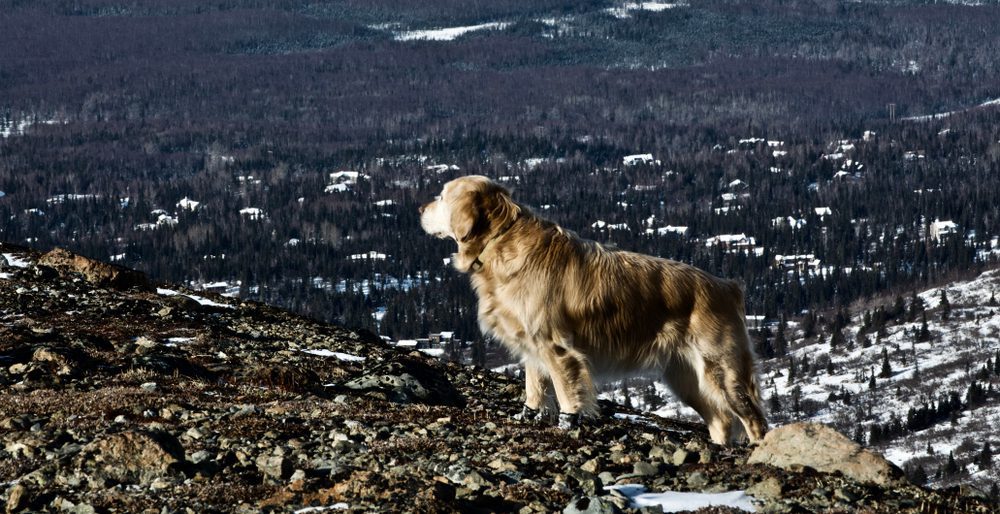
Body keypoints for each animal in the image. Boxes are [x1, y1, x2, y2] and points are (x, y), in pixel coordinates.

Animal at [418, 174, 768, 442]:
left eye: (442, 195)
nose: (420, 207)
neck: (500, 242)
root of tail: (728, 287)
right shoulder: (532, 347)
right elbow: (534, 388)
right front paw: (528, 417)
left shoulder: (558, 349)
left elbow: (566, 393)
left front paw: (567, 425)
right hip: (685, 377)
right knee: (721, 420)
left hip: (721, 370)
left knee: (753, 419)